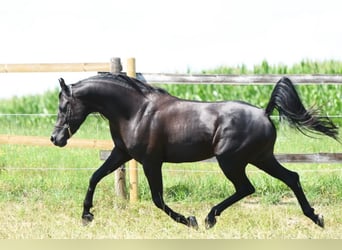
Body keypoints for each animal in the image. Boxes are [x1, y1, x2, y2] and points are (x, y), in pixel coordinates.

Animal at [49, 73, 338, 229]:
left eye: (63, 107)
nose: (55, 138)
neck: (136, 112)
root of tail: (265, 112)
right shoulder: (122, 153)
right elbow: (94, 177)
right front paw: (87, 216)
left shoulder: (151, 162)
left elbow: (157, 198)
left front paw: (189, 220)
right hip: (260, 158)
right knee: (291, 178)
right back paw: (316, 217)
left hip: (231, 161)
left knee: (247, 187)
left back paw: (209, 218)